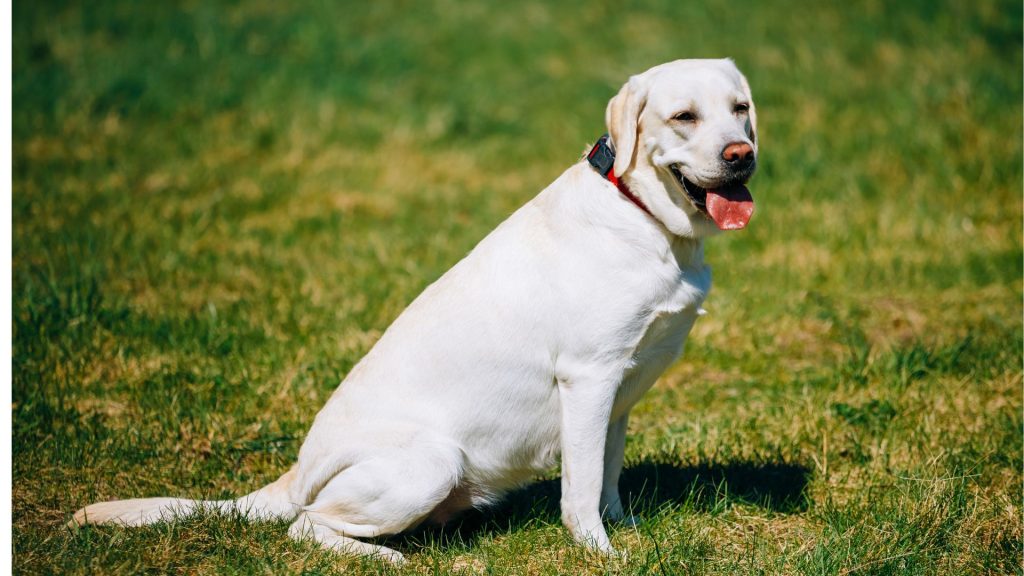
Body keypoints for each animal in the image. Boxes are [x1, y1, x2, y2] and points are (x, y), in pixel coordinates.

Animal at [72, 58, 757, 561]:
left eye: (740, 109)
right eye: (684, 116)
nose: (741, 154)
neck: (646, 219)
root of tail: (296, 471)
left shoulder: (619, 388)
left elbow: (607, 474)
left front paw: (624, 528)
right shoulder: (588, 378)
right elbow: (582, 488)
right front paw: (599, 551)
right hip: (431, 462)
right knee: (304, 527)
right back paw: (385, 557)